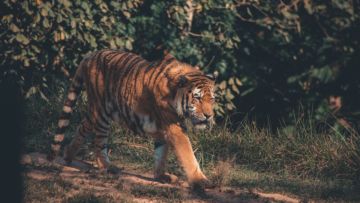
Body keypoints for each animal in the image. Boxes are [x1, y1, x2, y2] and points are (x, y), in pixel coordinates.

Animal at [47, 48, 217, 189]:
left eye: (212, 99)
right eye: (197, 98)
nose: (209, 116)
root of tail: (91, 55)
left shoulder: (164, 129)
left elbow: (161, 153)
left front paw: (161, 176)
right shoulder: (175, 128)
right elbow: (187, 154)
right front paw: (200, 181)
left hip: (96, 111)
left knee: (83, 126)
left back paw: (68, 154)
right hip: (102, 113)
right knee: (99, 143)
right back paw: (107, 167)